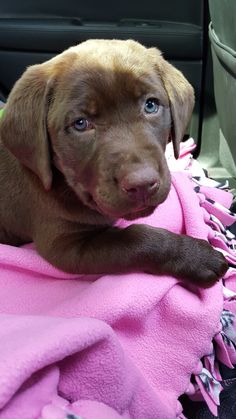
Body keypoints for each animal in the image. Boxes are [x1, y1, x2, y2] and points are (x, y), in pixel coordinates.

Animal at [0, 39, 227, 288]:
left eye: (150, 105)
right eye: (80, 123)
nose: (142, 185)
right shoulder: (65, 244)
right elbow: (137, 240)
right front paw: (197, 257)